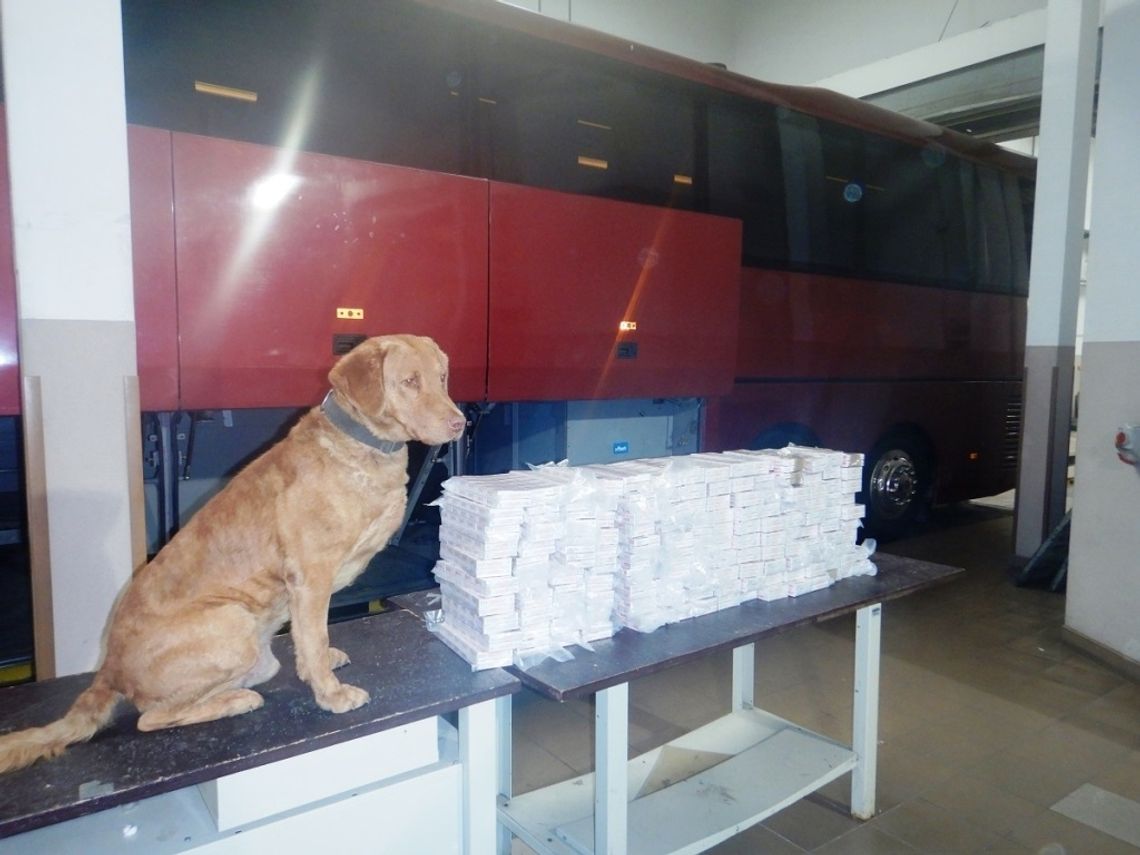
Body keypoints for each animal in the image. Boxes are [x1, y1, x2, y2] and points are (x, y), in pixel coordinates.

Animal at [0, 337, 467, 775]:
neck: (360, 444)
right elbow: (314, 639)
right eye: (409, 382)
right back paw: (238, 700)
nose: (460, 423)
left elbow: (311, 640)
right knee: (152, 718)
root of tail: (109, 670)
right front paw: (331, 694)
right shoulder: (310, 576)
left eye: (443, 377)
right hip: (233, 624)